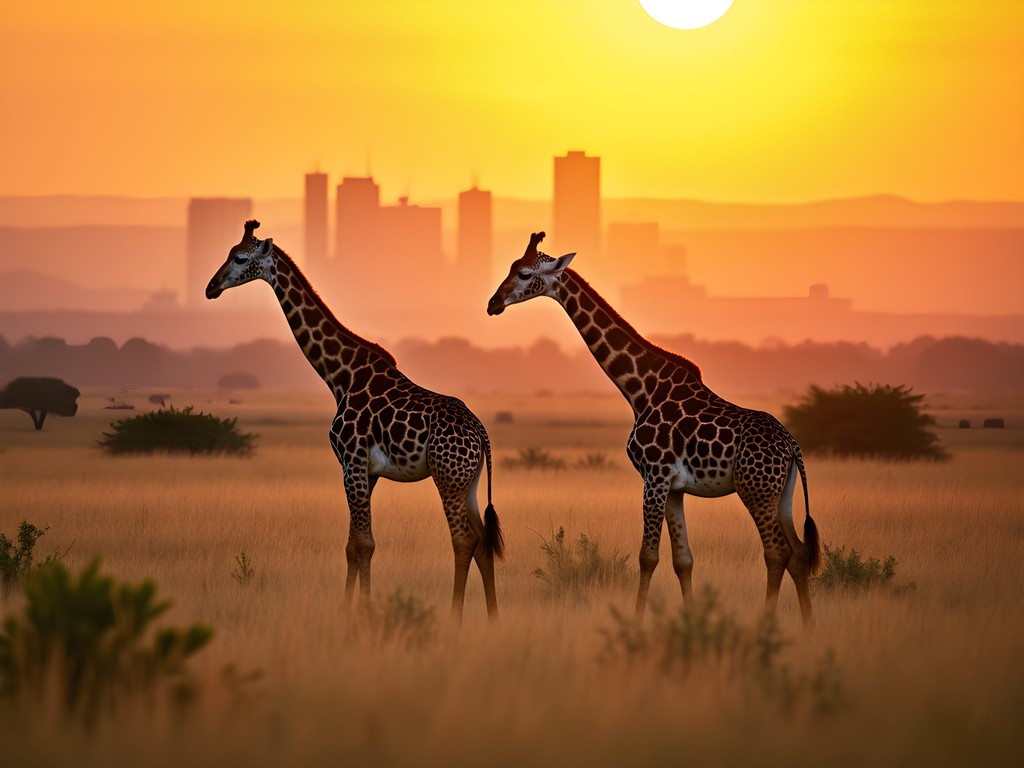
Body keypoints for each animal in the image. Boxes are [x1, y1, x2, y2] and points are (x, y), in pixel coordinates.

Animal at [207, 220, 503, 621]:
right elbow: (353, 545)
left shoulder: (353, 463)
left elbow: (363, 544)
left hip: (448, 478)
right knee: (483, 540)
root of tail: (480, 433)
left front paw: (360, 611)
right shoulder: (366, 471)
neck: (340, 376)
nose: (211, 287)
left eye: (239, 257)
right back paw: (493, 617)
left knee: (464, 539)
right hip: (468, 482)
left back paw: (455, 617)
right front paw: (350, 607)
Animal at [487, 232, 820, 626]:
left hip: (756, 490)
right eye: (511, 267)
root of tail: (792, 446)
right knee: (799, 552)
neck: (641, 389)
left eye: (524, 273)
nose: (493, 304)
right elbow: (683, 560)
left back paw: (766, 623)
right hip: (782, 493)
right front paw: (691, 619)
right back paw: (808, 624)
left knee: (777, 552)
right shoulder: (674, 488)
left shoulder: (654, 477)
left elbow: (648, 556)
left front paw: (635, 621)